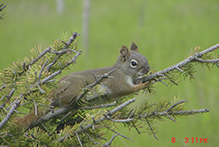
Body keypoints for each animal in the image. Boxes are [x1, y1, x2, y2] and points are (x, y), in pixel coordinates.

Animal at [14, 42, 150, 128]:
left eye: (146, 58)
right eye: (133, 63)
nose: (148, 69)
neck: (123, 71)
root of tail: (54, 90)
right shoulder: (116, 80)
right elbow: (124, 89)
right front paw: (142, 85)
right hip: (77, 84)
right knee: (65, 102)